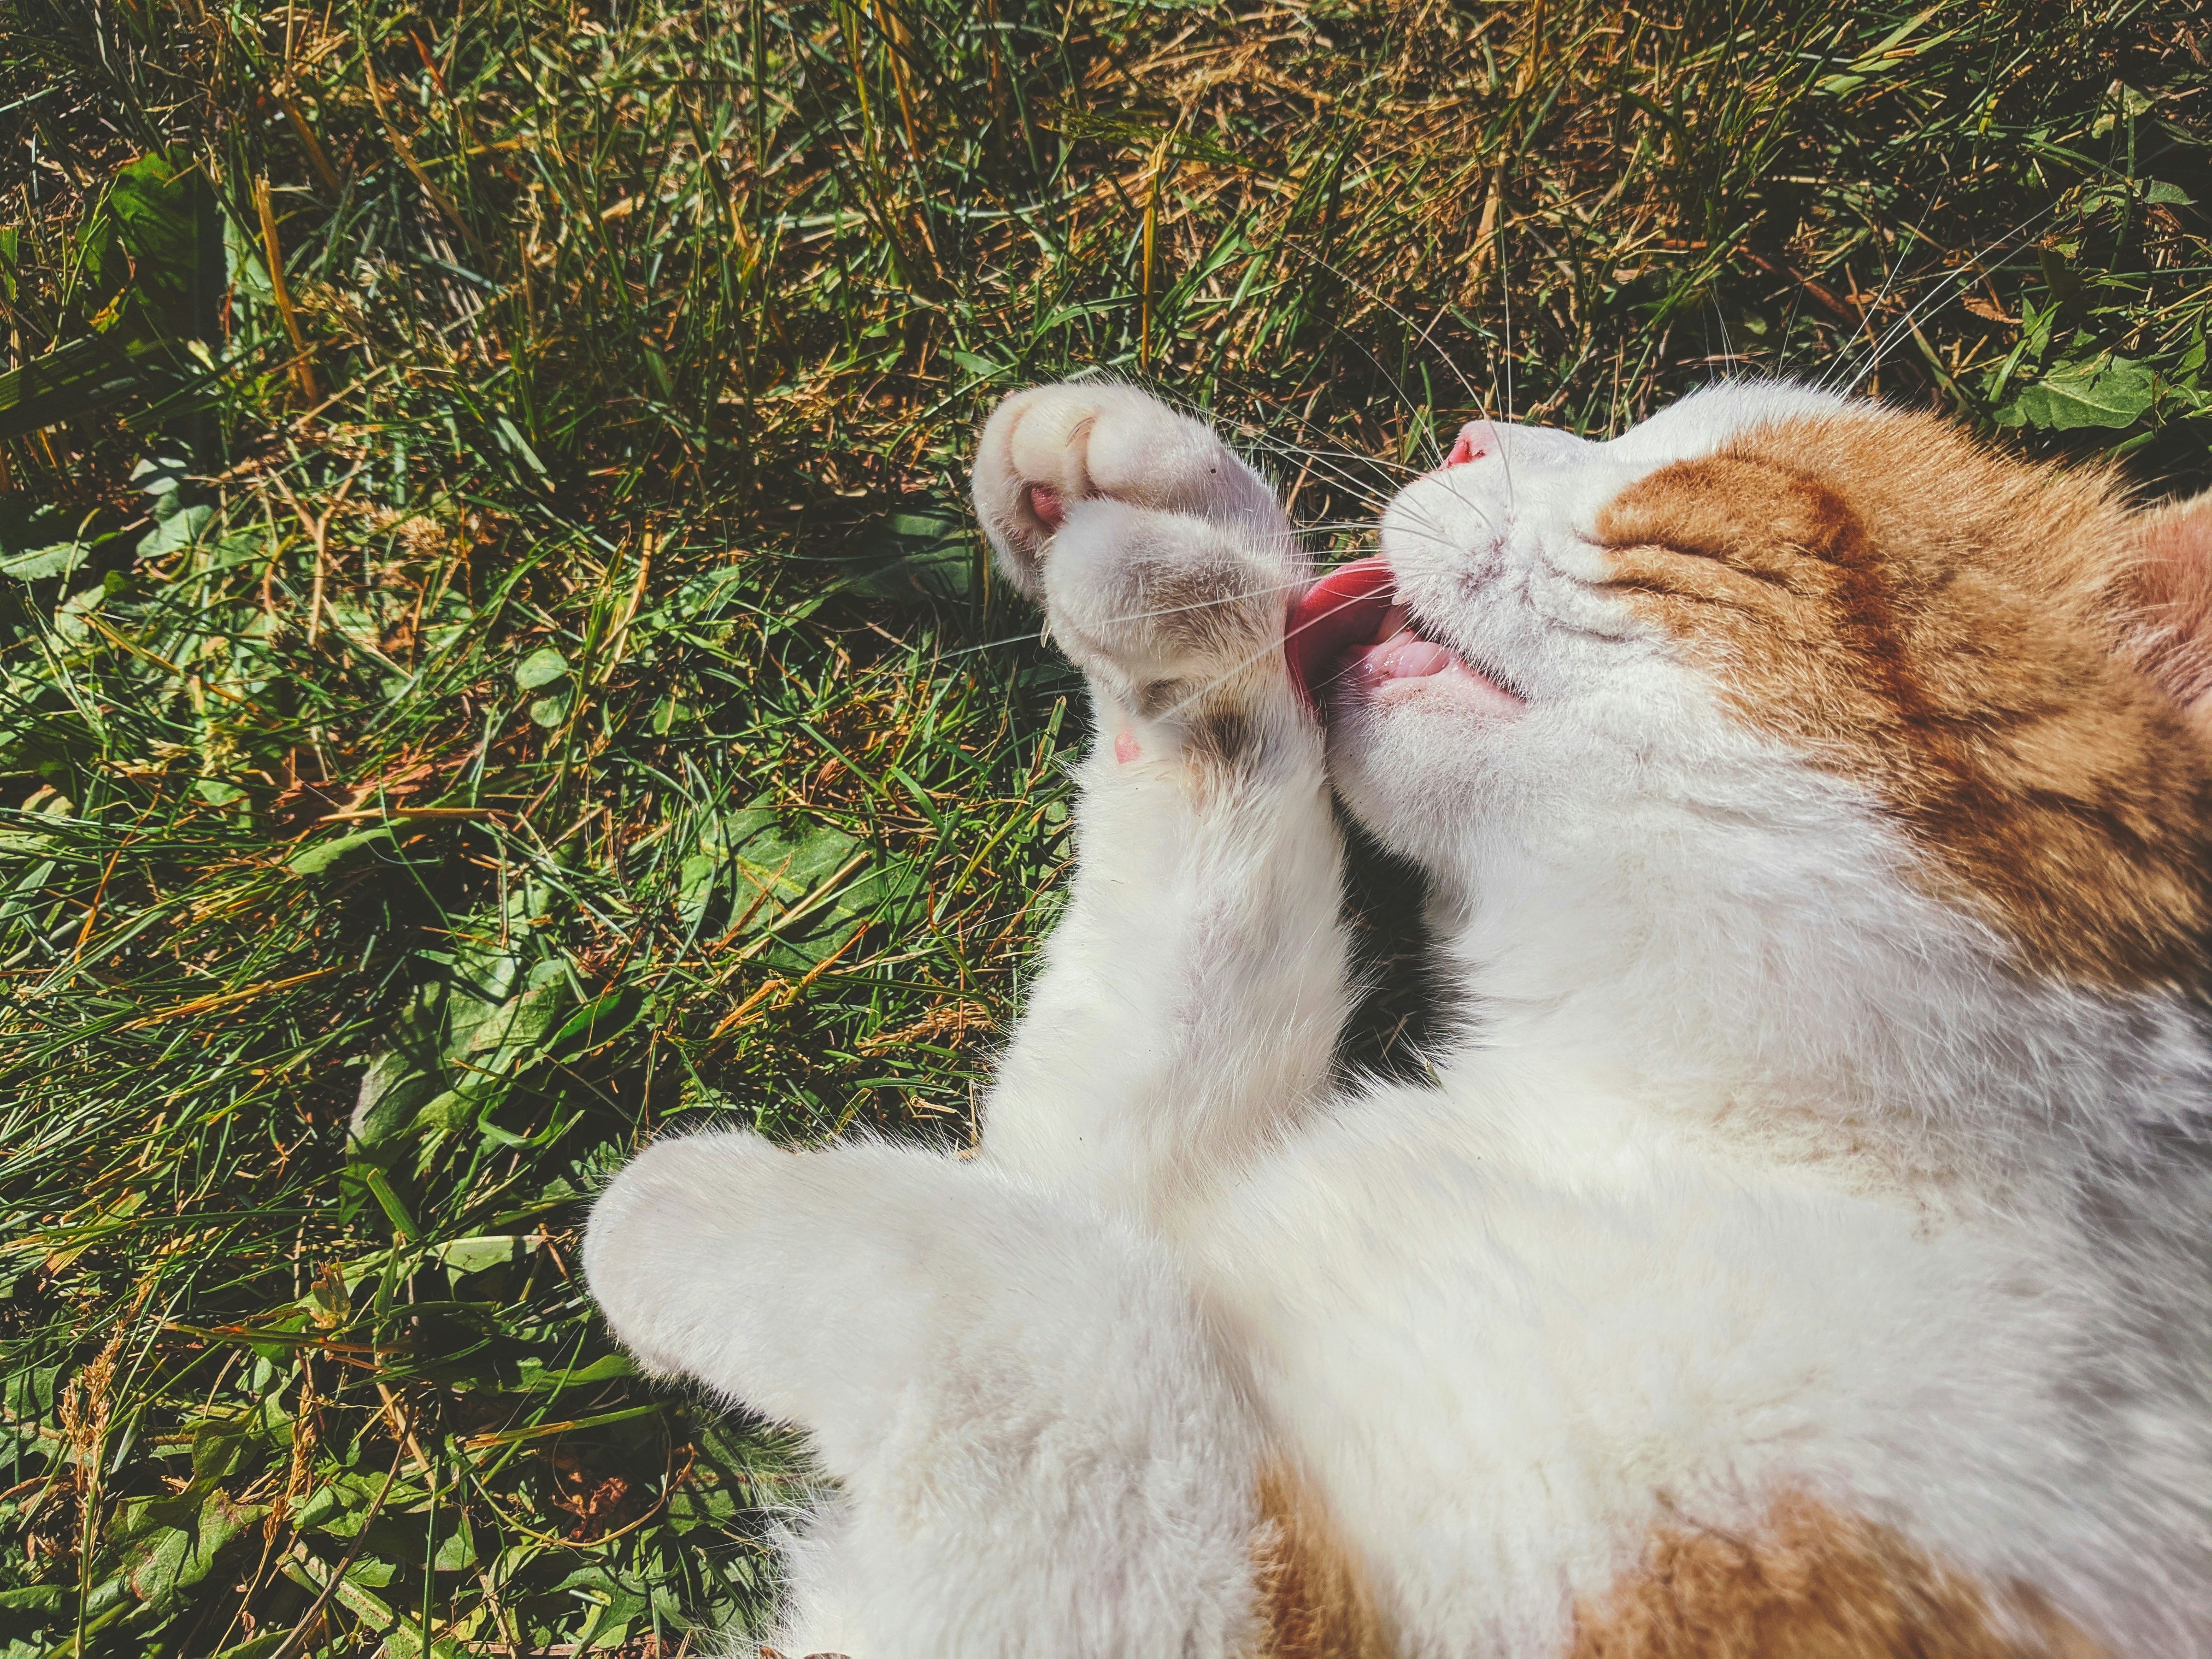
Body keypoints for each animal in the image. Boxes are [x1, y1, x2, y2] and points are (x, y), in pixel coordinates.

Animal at [584, 383, 2211, 1654]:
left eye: (1691, 506)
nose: (1471, 433)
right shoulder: (1155, 1191)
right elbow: (1107, 1118)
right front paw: (1187, 585)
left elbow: (1070, 1313)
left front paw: (679, 1211)